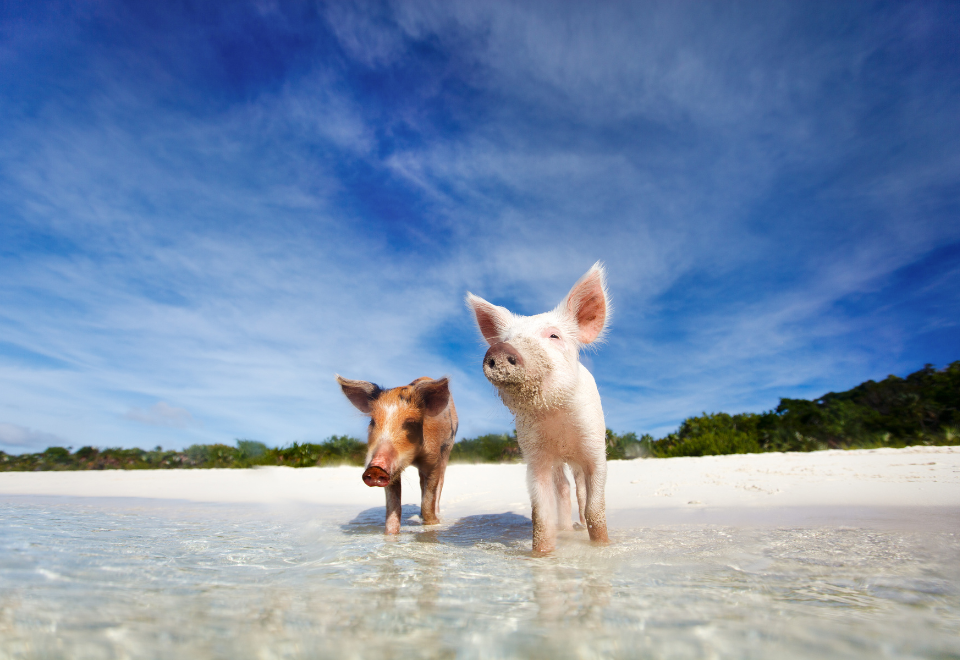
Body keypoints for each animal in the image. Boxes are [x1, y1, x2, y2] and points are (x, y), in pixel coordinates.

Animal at [468, 262, 612, 552]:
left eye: (554, 335)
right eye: (507, 338)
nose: (500, 349)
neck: (555, 415)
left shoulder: (595, 445)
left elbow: (595, 507)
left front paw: (603, 547)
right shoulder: (535, 455)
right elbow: (541, 515)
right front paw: (542, 554)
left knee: (579, 489)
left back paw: (579, 527)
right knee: (564, 488)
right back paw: (566, 529)